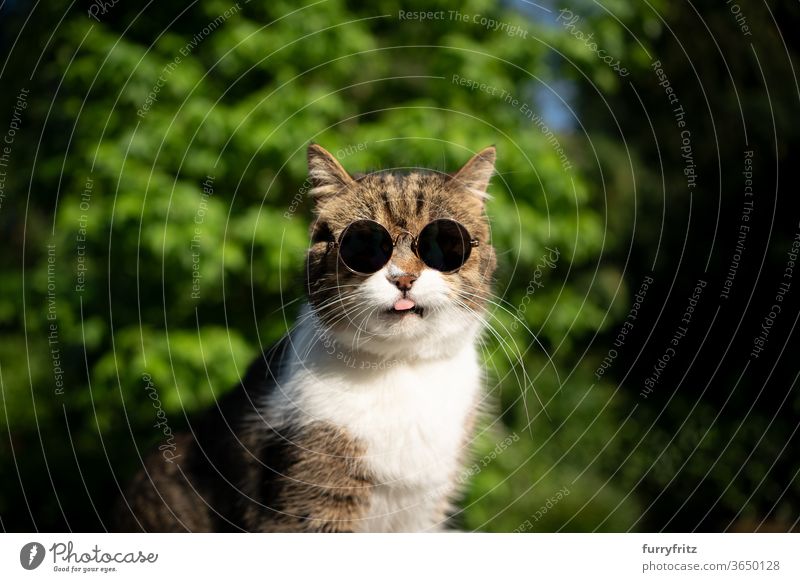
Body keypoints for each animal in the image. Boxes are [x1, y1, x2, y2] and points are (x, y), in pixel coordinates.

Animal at [116, 145, 496, 532]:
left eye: (444, 243)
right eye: (363, 245)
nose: (403, 277)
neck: (400, 366)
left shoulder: (424, 511)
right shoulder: (313, 494)